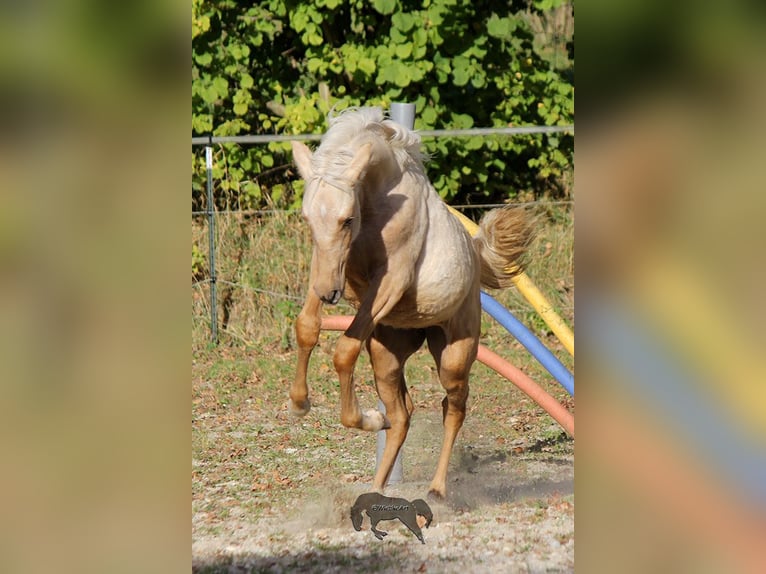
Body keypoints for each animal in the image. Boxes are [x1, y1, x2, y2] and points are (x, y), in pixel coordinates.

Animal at [288, 107, 536, 500]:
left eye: (347, 219)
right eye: (308, 219)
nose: (330, 294)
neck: (378, 200)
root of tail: (475, 257)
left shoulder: (391, 280)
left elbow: (344, 350)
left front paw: (365, 417)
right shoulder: (328, 265)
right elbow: (307, 328)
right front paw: (300, 404)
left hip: (454, 355)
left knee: (453, 407)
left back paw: (437, 489)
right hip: (386, 355)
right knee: (403, 414)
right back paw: (376, 485)